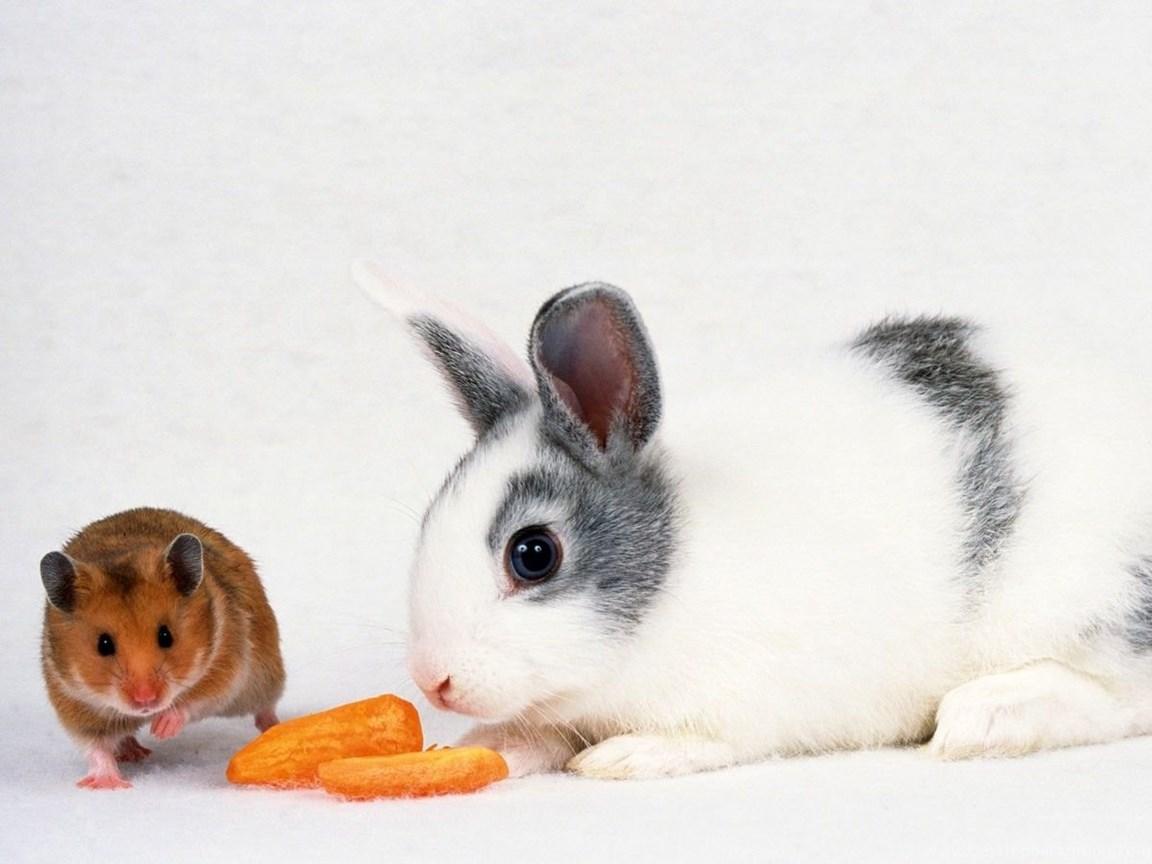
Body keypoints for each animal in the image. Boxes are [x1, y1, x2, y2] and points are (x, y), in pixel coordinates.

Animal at [356, 262, 1152, 780]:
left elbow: (707, 739)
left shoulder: (748, 700)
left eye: (533, 554)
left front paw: (630, 755)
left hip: (1083, 610)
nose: (434, 682)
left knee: (1117, 698)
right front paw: (486, 745)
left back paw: (985, 717)